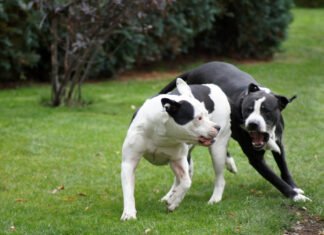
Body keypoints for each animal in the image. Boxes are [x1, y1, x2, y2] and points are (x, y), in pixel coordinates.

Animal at [120, 78, 237, 220]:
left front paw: (174, 202)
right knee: (180, 178)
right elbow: (128, 190)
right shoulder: (129, 162)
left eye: (207, 115)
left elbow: (186, 182)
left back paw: (214, 198)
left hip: (217, 150)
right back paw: (169, 195)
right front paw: (129, 212)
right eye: (199, 118)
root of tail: (212, 86)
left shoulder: (178, 159)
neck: (162, 133)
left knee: (219, 177)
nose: (217, 127)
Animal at [159, 61, 312, 202]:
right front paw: (295, 196)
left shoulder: (279, 143)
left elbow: (284, 168)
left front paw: (295, 187)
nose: (252, 124)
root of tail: (194, 70)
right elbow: (275, 179)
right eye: (248, 109)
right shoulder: (256, 159)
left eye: (266, 111)